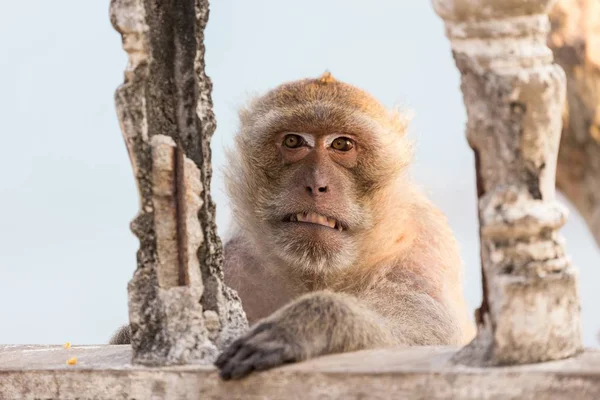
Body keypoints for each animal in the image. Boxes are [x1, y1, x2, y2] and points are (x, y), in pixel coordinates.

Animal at [106, 72, 474, 382]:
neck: (318, 274)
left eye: (342, 144)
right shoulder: (235, 262)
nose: (317, 184)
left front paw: (311, 322)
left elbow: (423, 332)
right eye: (294, 141)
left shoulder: (421, 248)